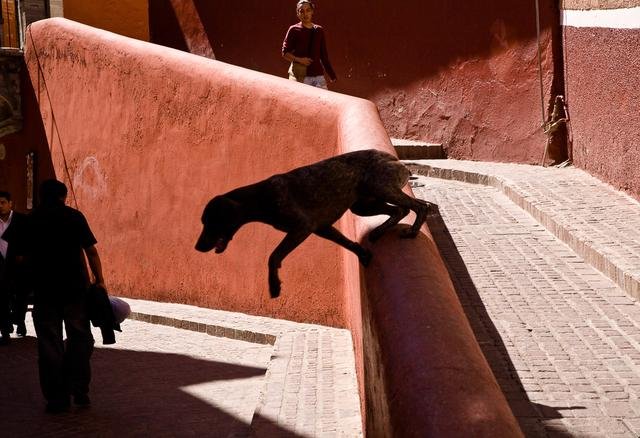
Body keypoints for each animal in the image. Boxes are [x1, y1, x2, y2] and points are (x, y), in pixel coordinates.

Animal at [195, 150, 436, 298]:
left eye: (211, 222)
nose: (197, 247)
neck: (262, 197)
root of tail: (394, 158)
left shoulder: (302, 228)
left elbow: (273, 256)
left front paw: (274, 285)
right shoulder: (322, 228)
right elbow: (348, 244)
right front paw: (363, 254)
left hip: (381, 189)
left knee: (418, 207)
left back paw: (413, 231)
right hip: (364, 204)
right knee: (400, 210)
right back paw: (378, 232)